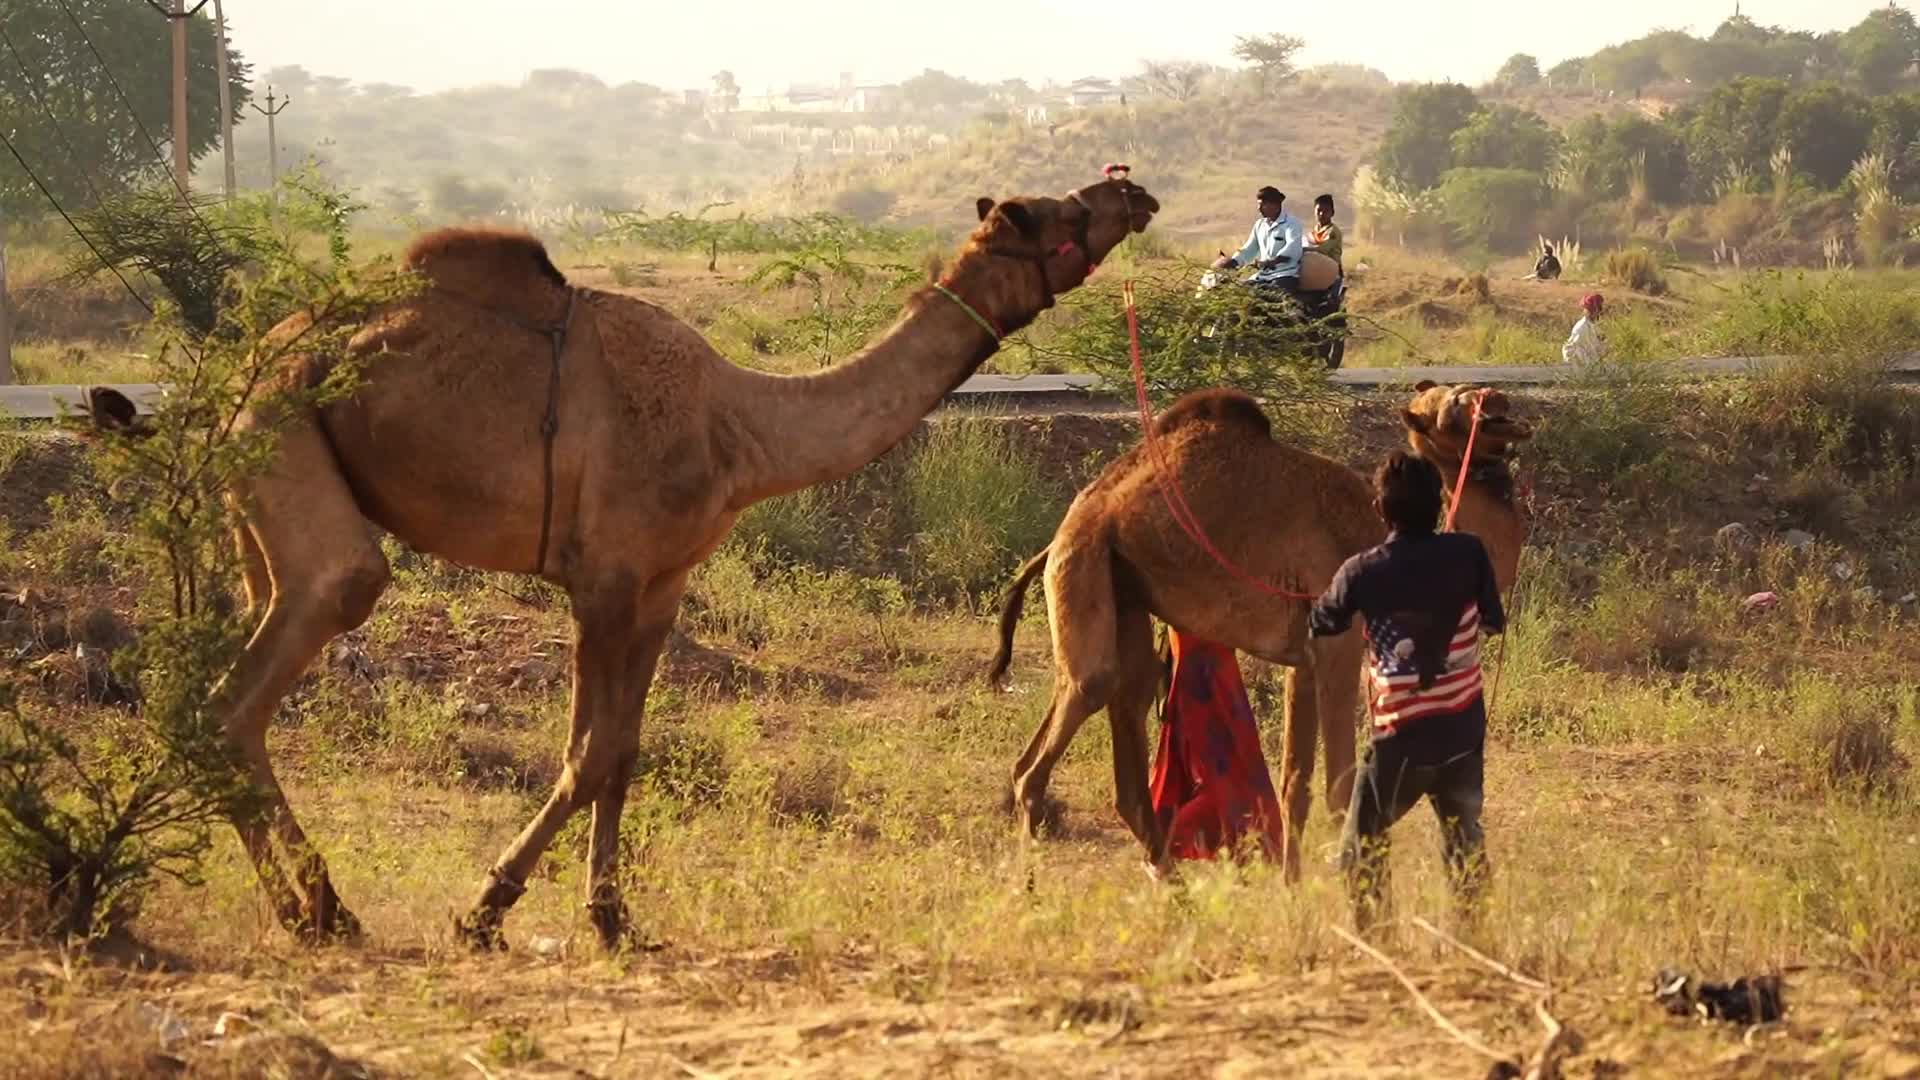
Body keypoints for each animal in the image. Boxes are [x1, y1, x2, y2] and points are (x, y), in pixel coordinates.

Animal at [85, 174, 1160, 951]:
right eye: (1059, 213)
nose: (1133, 189)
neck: (740, 429)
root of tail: (236, 371)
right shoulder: (601, 579)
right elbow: (591, 751)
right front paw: (486, 909)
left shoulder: (660, 587)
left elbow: (628, 751)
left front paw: (611, 919)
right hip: (285, 441)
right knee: (269, 664)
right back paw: (323, 911)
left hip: (259, 497)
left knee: (244, 685)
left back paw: (311, 908)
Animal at [986, 381, 1531, 880]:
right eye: (1455, 407)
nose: (1498, 399)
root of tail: (1067, 527)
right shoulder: (1341, 639)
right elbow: (1339, 785)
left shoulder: (1305, 659)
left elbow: (1294, 784)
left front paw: (1292, 888)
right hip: (1084, 563)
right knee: (1057, 738)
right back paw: (1031, 886)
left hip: (1122, 587)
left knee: (1119, 718)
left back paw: (1173, 887)